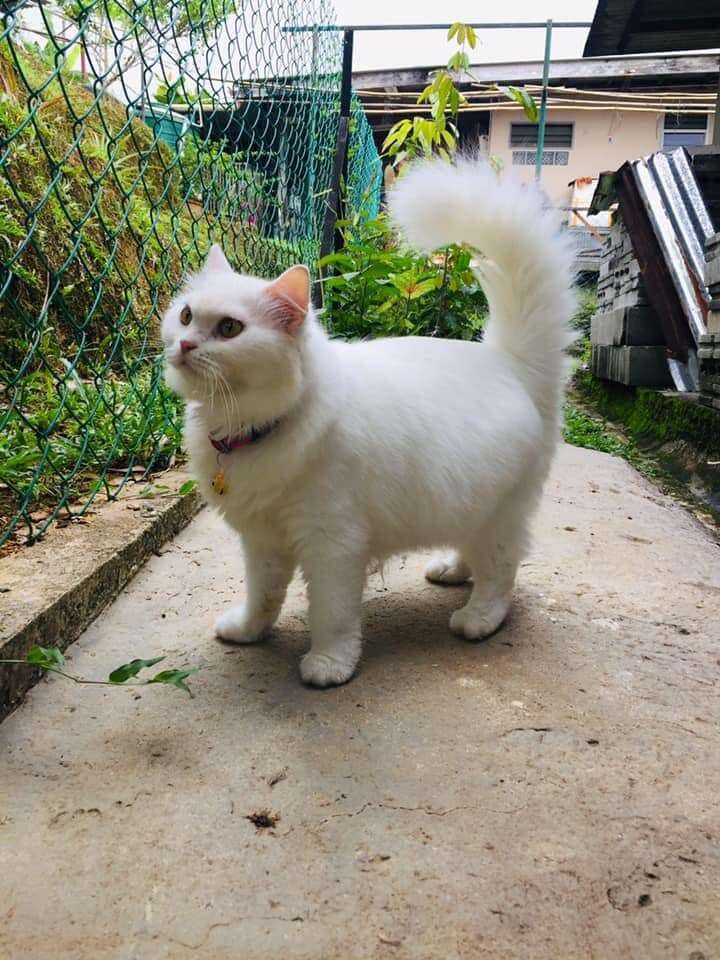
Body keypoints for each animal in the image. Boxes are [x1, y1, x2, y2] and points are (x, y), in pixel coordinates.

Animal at [162, 159, 572, 684]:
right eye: (186, 315)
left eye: (230, 328)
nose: (184, 345)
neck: (251, 427)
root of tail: (511, 362)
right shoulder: (262, 541)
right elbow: (263, 597)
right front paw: (248, 631)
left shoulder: (333, 544)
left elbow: (331, 615)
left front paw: (329, 664)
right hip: (468, 503)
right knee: (476, 554)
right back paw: (451, 570)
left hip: (501, 513)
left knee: (502, 571)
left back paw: (478, 618)